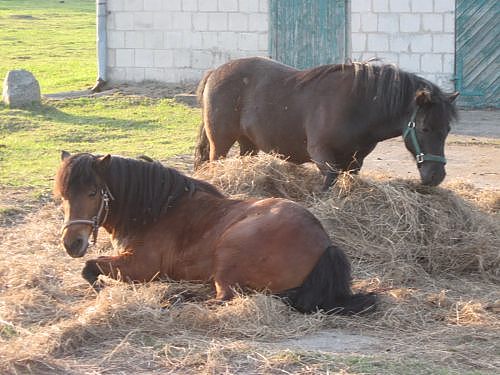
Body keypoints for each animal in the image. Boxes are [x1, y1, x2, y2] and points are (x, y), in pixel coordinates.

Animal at [193, 57, 458, 189]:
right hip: (221, 143)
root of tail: (215, 72)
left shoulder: (355, 162)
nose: (436, 176)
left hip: (248, 144)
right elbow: (328, 183)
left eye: (447, 130)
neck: (359, 105)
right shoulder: (322, 154)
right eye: (424, 128)